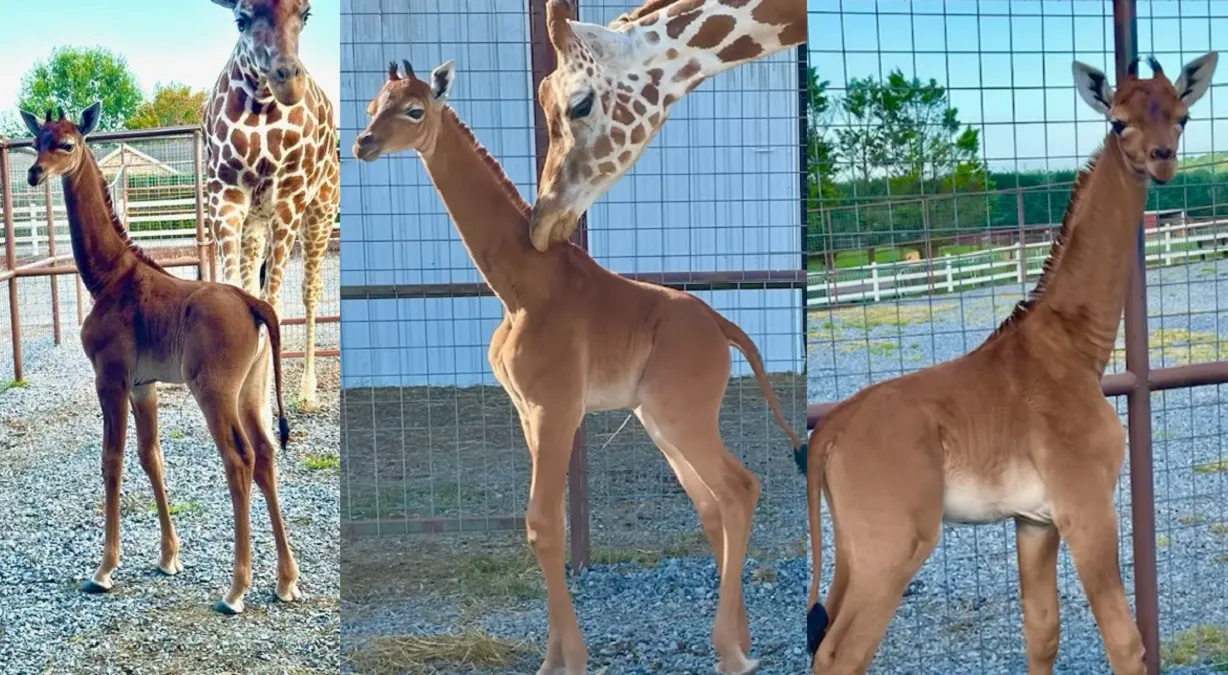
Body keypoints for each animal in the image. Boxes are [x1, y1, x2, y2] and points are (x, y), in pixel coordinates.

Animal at [21, 102, 301, 615]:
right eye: (37, 141)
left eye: (67, 143)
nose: (33, 173)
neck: (108, 277)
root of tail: (254, 304)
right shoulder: (142, 385)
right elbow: (151, 456)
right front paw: (169, 557)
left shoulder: (110, 378)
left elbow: (111, 459)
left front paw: (104, 570)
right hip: (251, 391)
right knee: (267, 454)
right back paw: (286, 581)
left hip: (214, 391)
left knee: (240, 458)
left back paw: (235, 591)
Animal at [203, 0, 340, 412]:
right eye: (241, 19)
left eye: (306, 14)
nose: (287, 81)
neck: (261, 105)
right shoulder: (225, 195)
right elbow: (238, 292)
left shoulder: (289, 197)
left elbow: (273, 302)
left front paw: (262, 406)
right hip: (256, 220)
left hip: (320, 210)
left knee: (310, 290)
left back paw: (307, 392)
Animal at [353, 60, 805, 675]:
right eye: (373, 103)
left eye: (414, 109)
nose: (363, 143)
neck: (521, 288)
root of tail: (722, 328)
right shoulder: (527, 411)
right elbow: (554, 527)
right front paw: (556, 656)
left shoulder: (557, 407)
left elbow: (542, 524)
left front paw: (565, 661)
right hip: (658, 421)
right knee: (712, 503)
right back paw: (742, 642)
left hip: (681, 415)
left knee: (738, 488)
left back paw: (731, 652)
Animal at [802, 52, 1217, 675]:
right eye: (1118, 121)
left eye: (1182, 115)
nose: (1162, 159)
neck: (1074, 350)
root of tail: (830, 430)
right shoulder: (1086, 505)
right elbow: (1126, 642)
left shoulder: (1034, 521)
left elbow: (1041, 633)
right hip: (893, 546)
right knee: (840, 653)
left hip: (855, 547)